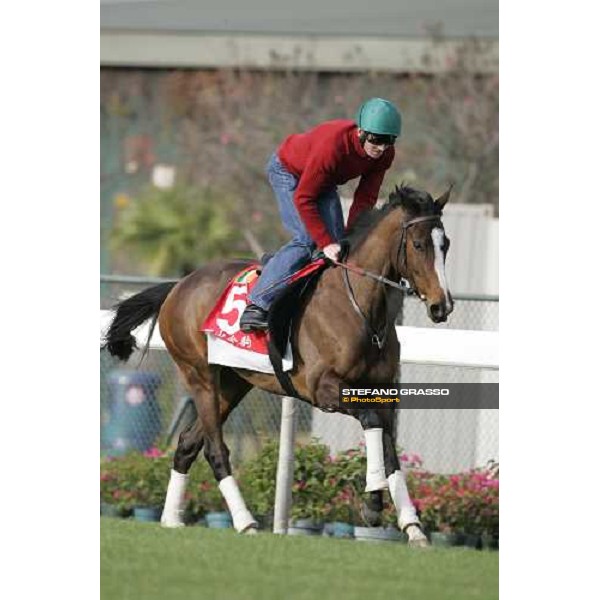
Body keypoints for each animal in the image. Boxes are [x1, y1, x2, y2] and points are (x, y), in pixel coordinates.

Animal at [103, 185, 452, 548]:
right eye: (418, 244)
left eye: (446, 244)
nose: (442, 306)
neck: (360, 310)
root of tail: (179, 285)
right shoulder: (323, 389)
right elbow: (371, 423)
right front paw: (373, 503)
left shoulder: (382, 391)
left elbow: (389, 448)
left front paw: (412, 525)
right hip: (200, 376)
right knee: (215, 450)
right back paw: (245, 521)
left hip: (233, 383)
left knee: (187, 444)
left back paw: (171, 519)